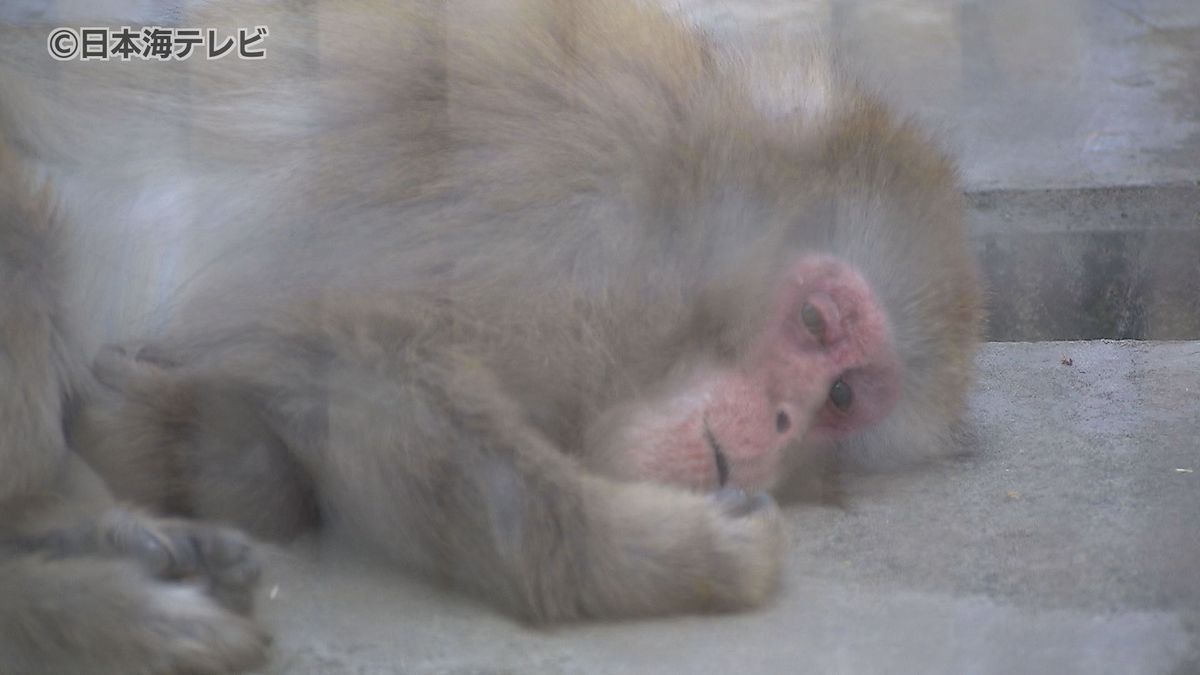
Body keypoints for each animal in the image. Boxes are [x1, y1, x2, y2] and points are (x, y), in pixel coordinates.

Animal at [0, 0, 974, 667]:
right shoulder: (565, 194)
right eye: (814, 321)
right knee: (30, 237)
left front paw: (168, 436)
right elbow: (346, 333)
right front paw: (664, 554)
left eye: (842, 396)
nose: (778, 424)